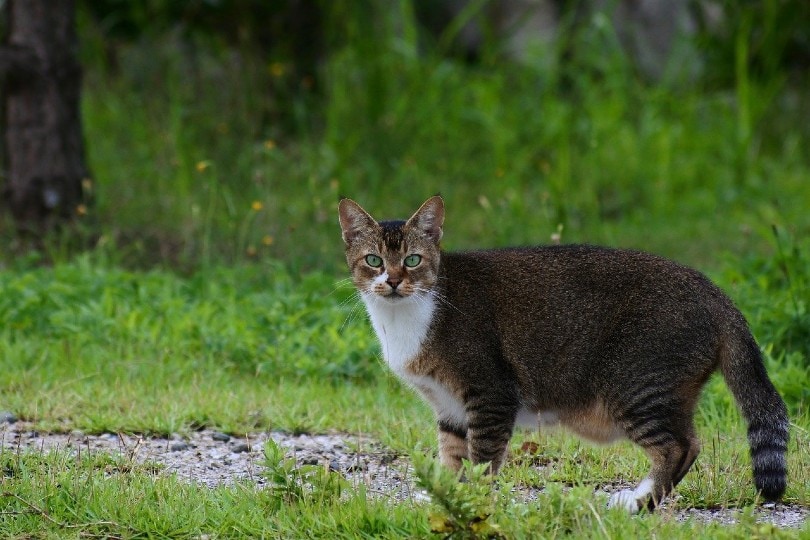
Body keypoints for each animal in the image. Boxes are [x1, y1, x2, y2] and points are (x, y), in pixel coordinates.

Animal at [338, 195, 784, 516]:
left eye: (412, 259)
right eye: (374, 260)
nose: (394, 281)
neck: (403, 320)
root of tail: (715, 293)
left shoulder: (489, 393)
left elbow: (482, 459)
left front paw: (473, 501)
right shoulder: (449, 406)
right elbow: (453, 458)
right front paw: (444, 499)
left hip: (636, 384)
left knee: (680, 446)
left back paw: (637, 503)